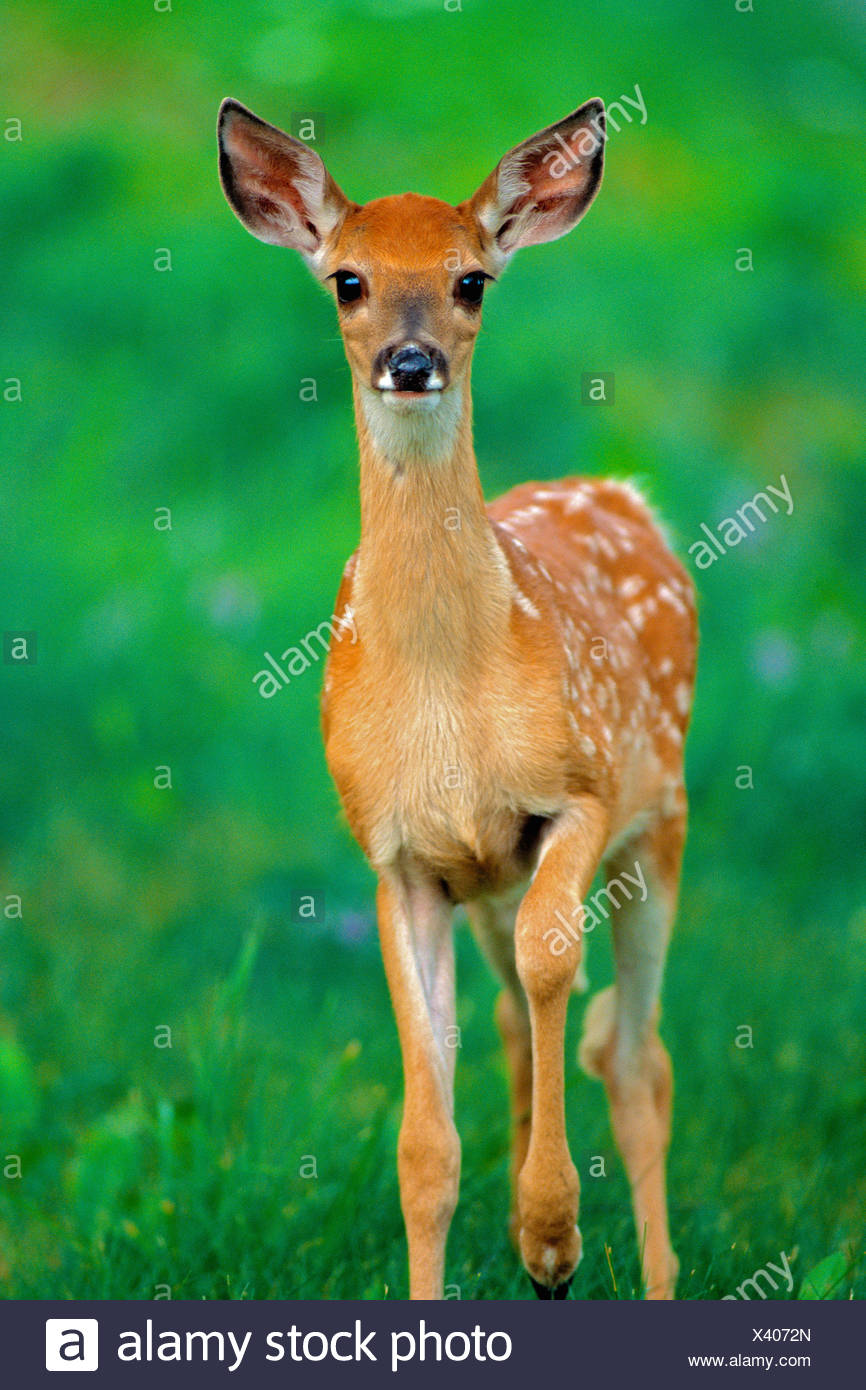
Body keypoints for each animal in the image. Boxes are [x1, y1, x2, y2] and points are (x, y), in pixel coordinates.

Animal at [217, 95, 697, 1301]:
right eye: (346, 278)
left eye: (471, 278)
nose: (410, 360)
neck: (447, 692)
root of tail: (623, 495)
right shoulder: (398, 852)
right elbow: (422, 1149)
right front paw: (512, 1250)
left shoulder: (577, 790)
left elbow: (555, 963)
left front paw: (553, 1229)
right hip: (492, 876)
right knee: (520, 1021)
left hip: (659, 817)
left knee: (634, 1052)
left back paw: (641, 1270)